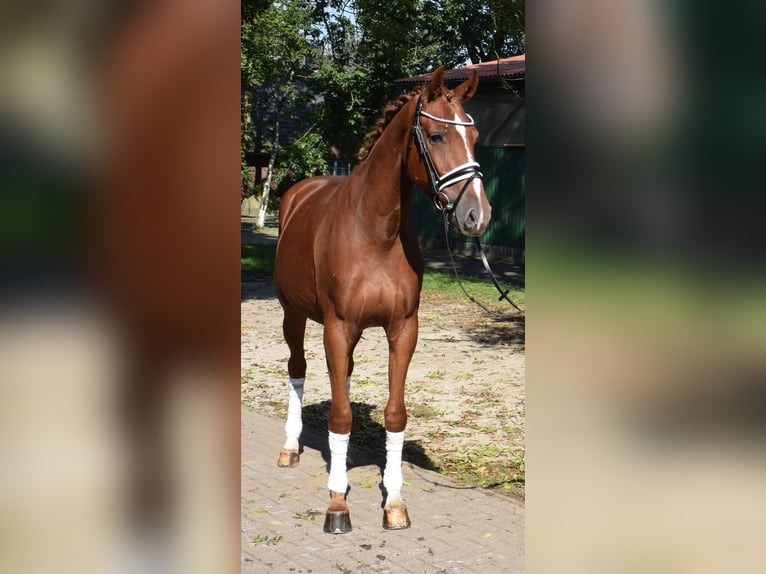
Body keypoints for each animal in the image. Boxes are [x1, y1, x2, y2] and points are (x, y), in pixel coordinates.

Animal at [274, 68, 492, 536]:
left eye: (475, 136)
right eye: (436, 135)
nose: (477, 215)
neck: (375, 231)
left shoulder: (403, 329)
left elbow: (395, 415)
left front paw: (394, 502)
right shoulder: (336, 326)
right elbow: (339, 417)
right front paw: (337, 505)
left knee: (343, 377)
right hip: (294, 316)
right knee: (298, 370)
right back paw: (290, 447)